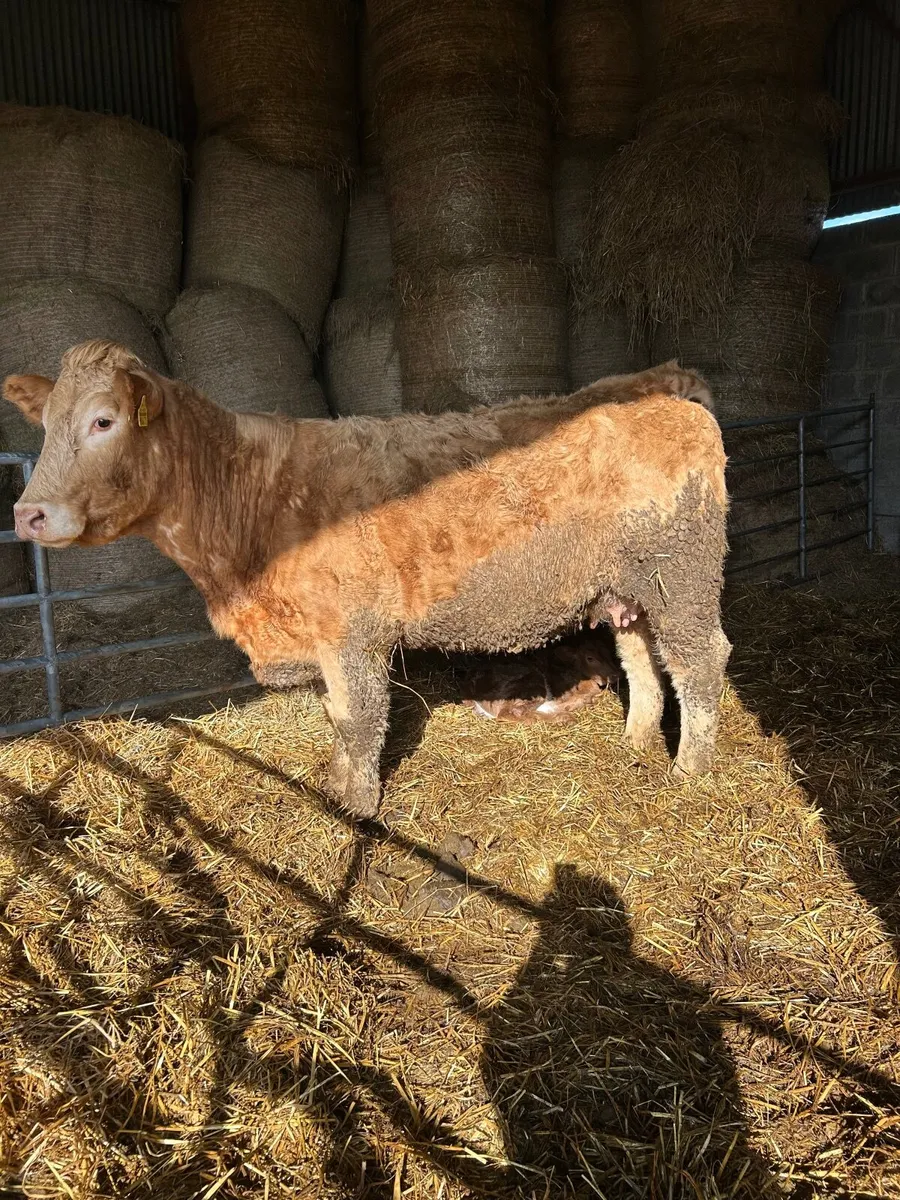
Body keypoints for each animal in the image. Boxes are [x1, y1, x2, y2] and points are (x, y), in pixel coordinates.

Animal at [5, 341, 730, 818]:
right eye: (45, 424)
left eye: (104, 420)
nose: (28, 513)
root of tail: (666, 382)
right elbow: (335, 718)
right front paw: (335, 783)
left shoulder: (353, 634)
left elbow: (358, 718)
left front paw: (356, 808)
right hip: (630, 587)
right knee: (643, 658)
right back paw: (637, 739)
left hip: (682, 574)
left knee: (700, 662)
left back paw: (690, 772)